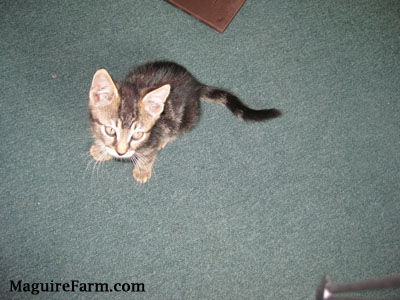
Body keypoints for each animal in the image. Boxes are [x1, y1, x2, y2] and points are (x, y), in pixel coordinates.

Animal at [87, 61, 282, 183]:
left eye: (138, 135)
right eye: (110, 130)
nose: (121, 152)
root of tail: (196, 84)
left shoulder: (155, 135)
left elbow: (148, 154)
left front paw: (142, 169)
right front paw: (101, 150)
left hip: (186, 118)